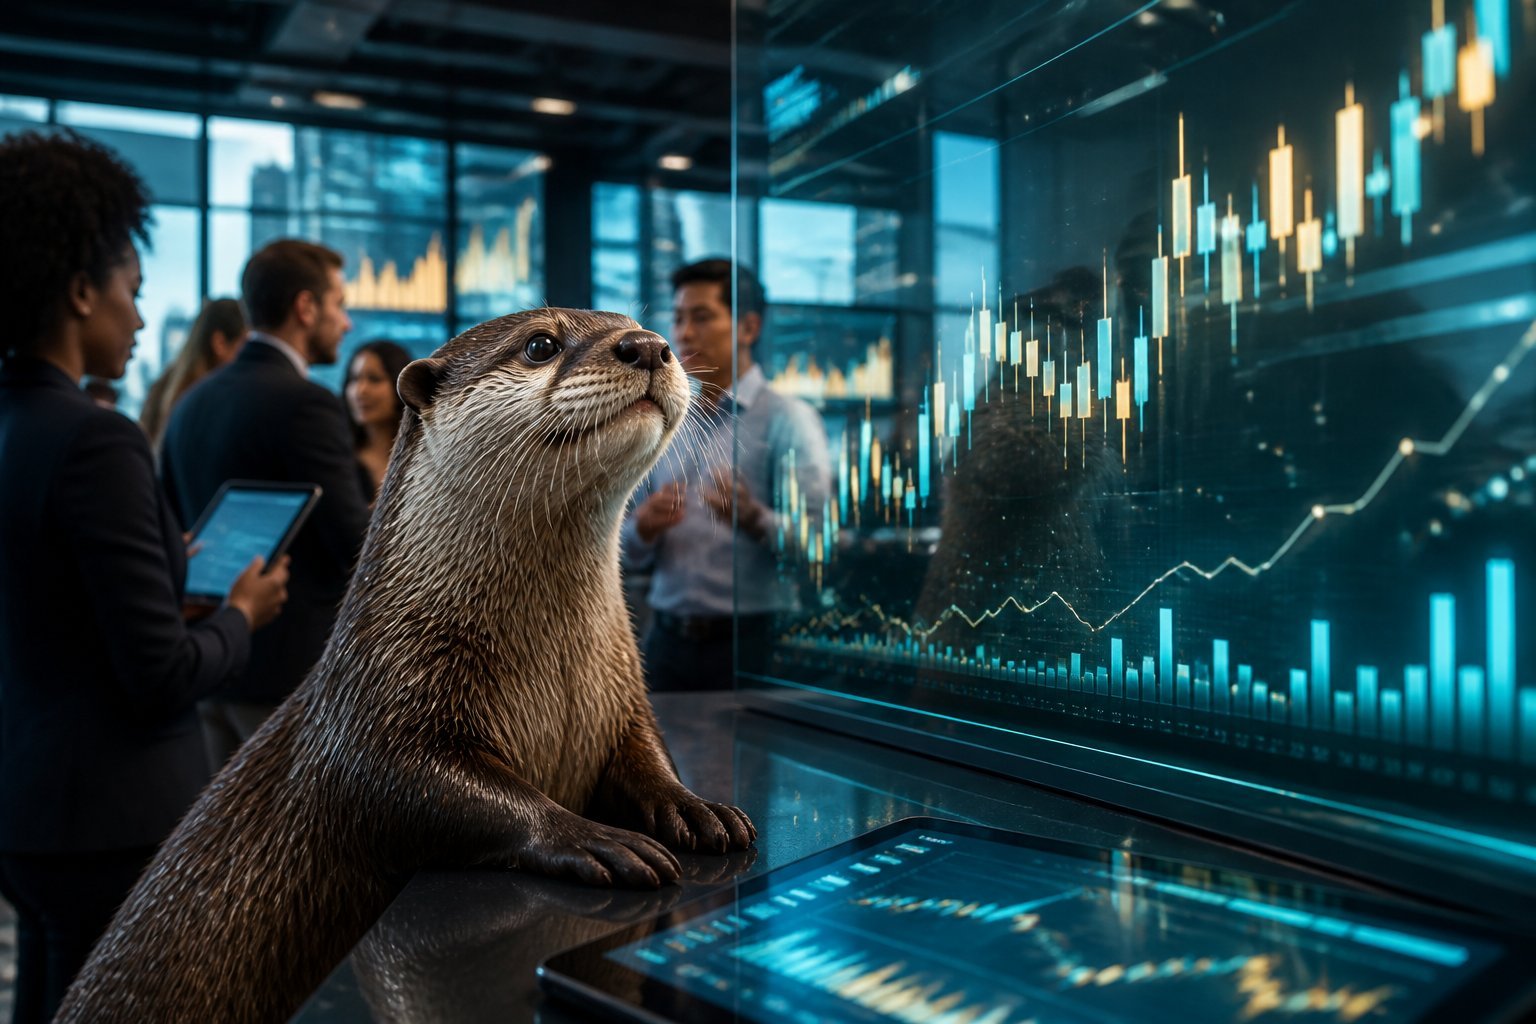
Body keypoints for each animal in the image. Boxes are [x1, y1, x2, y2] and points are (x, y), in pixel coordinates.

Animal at [57, 309, 756, 1024]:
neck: (555, 668)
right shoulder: (377, 700)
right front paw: (590, 836)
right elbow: (397, 783)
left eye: (643, 325)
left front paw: (697, 808)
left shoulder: (622, 692)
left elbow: (645, 753)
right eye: (541, 344)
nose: (648, 346)